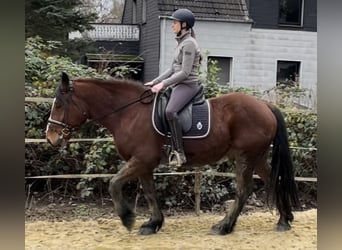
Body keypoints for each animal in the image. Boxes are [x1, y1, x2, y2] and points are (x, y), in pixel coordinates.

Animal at [46, 72, 300, 234]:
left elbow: (114, 183)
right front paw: (153, 223)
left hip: (245, 157)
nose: (50, 137)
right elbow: (150, 192)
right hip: (258, 158)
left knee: (243, 190)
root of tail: (265, 105)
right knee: (273, 181)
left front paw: (128, 218)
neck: (129, 113)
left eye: (59, 104)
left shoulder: (141, 160)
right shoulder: (143, 164)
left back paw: (224, 226)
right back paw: (284, 220)